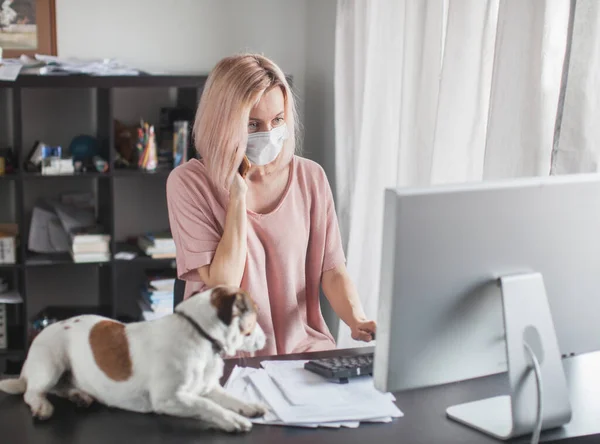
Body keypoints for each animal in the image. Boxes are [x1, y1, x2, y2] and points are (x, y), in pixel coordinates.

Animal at [0, 284, 268, 434]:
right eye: (255, 317)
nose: (265, 339)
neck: (199, 334)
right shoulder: (169, 399)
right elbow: (207, 405)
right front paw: (233, 419)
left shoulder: (207, 387)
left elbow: (228, 397)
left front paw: (248, 406)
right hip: (52, 362)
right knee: (33, 392)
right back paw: (42, 406)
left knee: (60, 387)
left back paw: (80, 395)